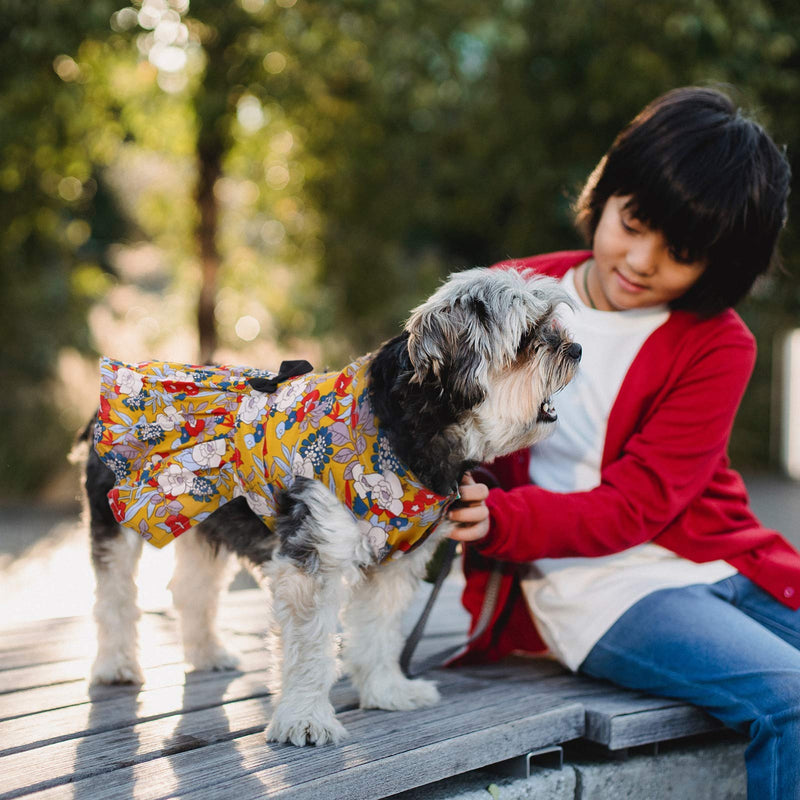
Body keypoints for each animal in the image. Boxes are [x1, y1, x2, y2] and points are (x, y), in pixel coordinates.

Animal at [83, 266, 580, 748]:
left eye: (551, 324)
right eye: (527, 336)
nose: (574, 349)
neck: (398, 430)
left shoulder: (391, 568)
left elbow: (379, 632)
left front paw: (386, 690)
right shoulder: (314, 559)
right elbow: (310, 649)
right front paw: (304, 719)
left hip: (202, 519)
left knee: (192, 590)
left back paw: (207, 654)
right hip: (122, 518)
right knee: (115, 596)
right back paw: (115, 665)